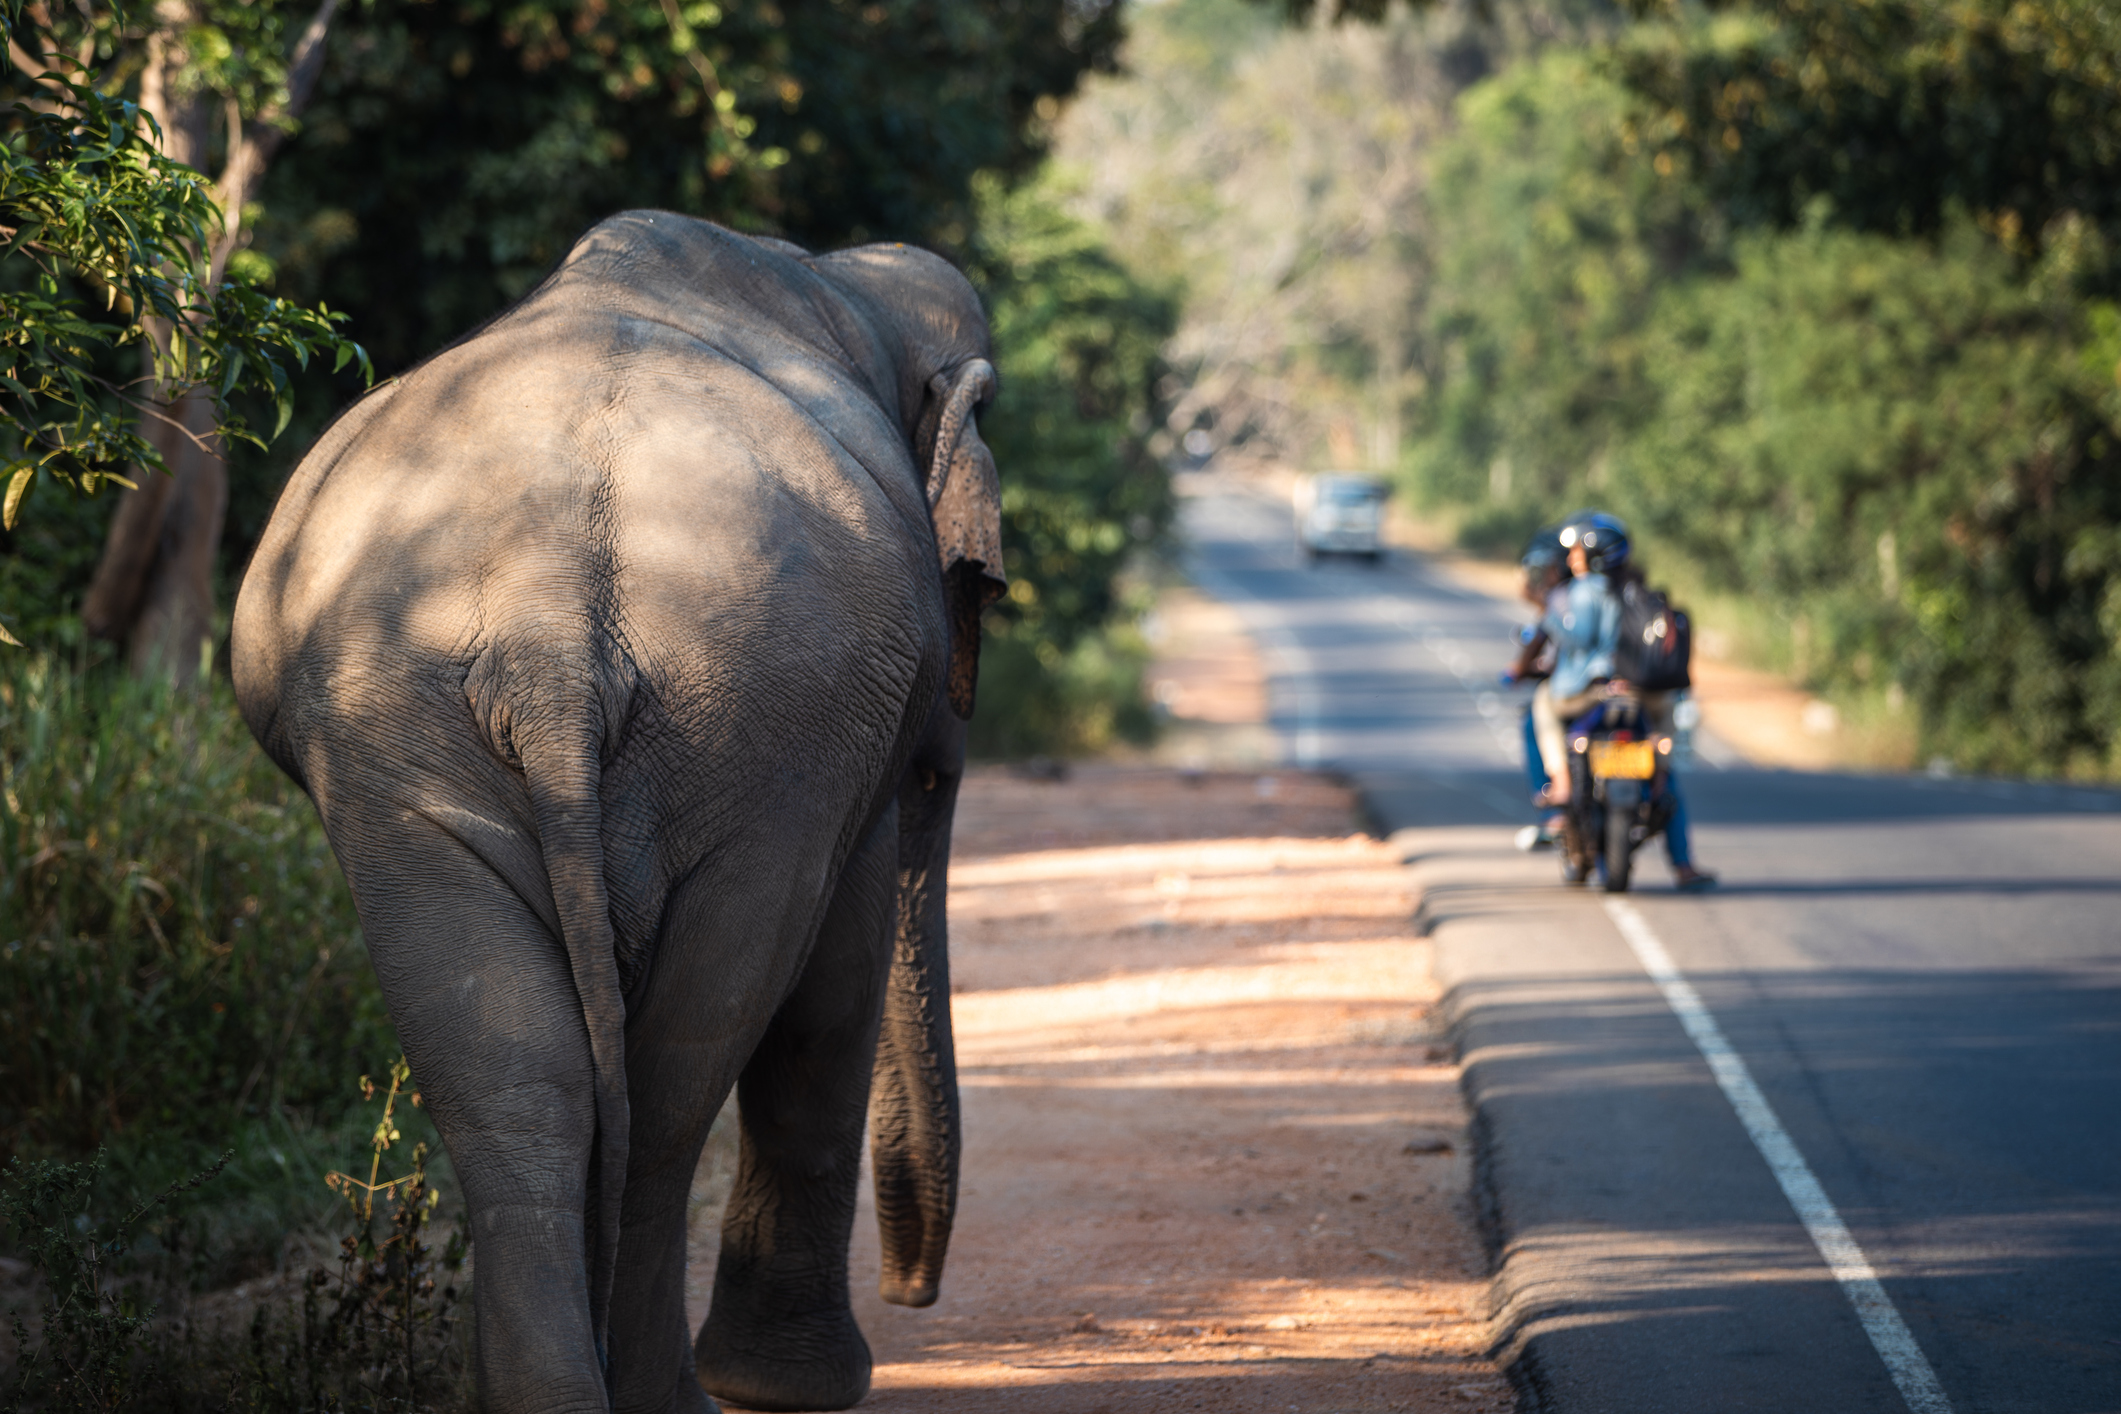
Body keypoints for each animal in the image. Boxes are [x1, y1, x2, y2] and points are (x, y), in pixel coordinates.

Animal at [232, 209, 1001, 1414]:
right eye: (929, 781)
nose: (914, 1288)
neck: (837, 280)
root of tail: (547, 607)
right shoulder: (847, 755)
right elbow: (838, 975)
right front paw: (800, 1389)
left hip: (404, 741)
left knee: (518, 1075)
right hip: (753, 732)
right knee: (676, 1071)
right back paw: (664, 1395)